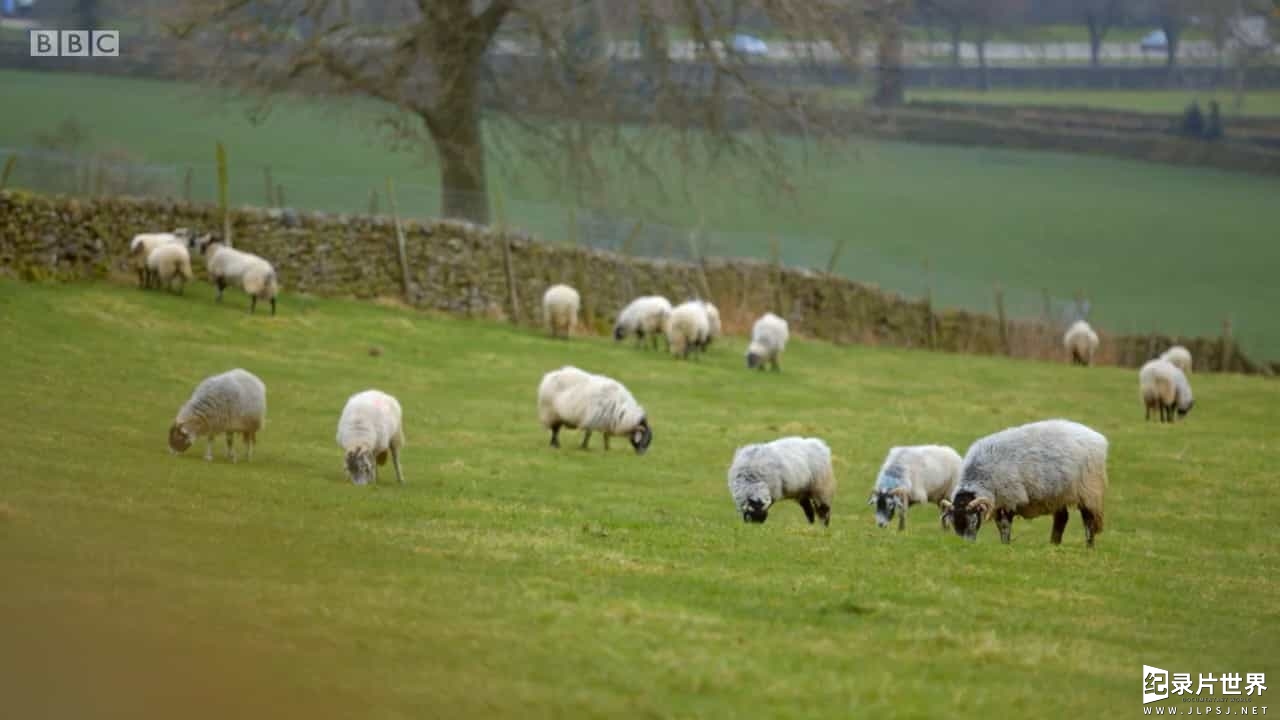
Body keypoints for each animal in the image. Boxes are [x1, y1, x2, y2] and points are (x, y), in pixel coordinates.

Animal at [936, 417, 1105, 545]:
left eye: (972, 521)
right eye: (953, 523)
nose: (967, 545)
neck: (981, 476)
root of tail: (1098, 437)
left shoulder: (1011, 497)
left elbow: (1004, 526)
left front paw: (1005, 544)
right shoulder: (999, 502)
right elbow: (1000, 524)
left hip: (1088, 489)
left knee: (1088, 520)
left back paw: (1089, 546)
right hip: (1058, 493)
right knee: (1061, 518)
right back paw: (1053, 544)